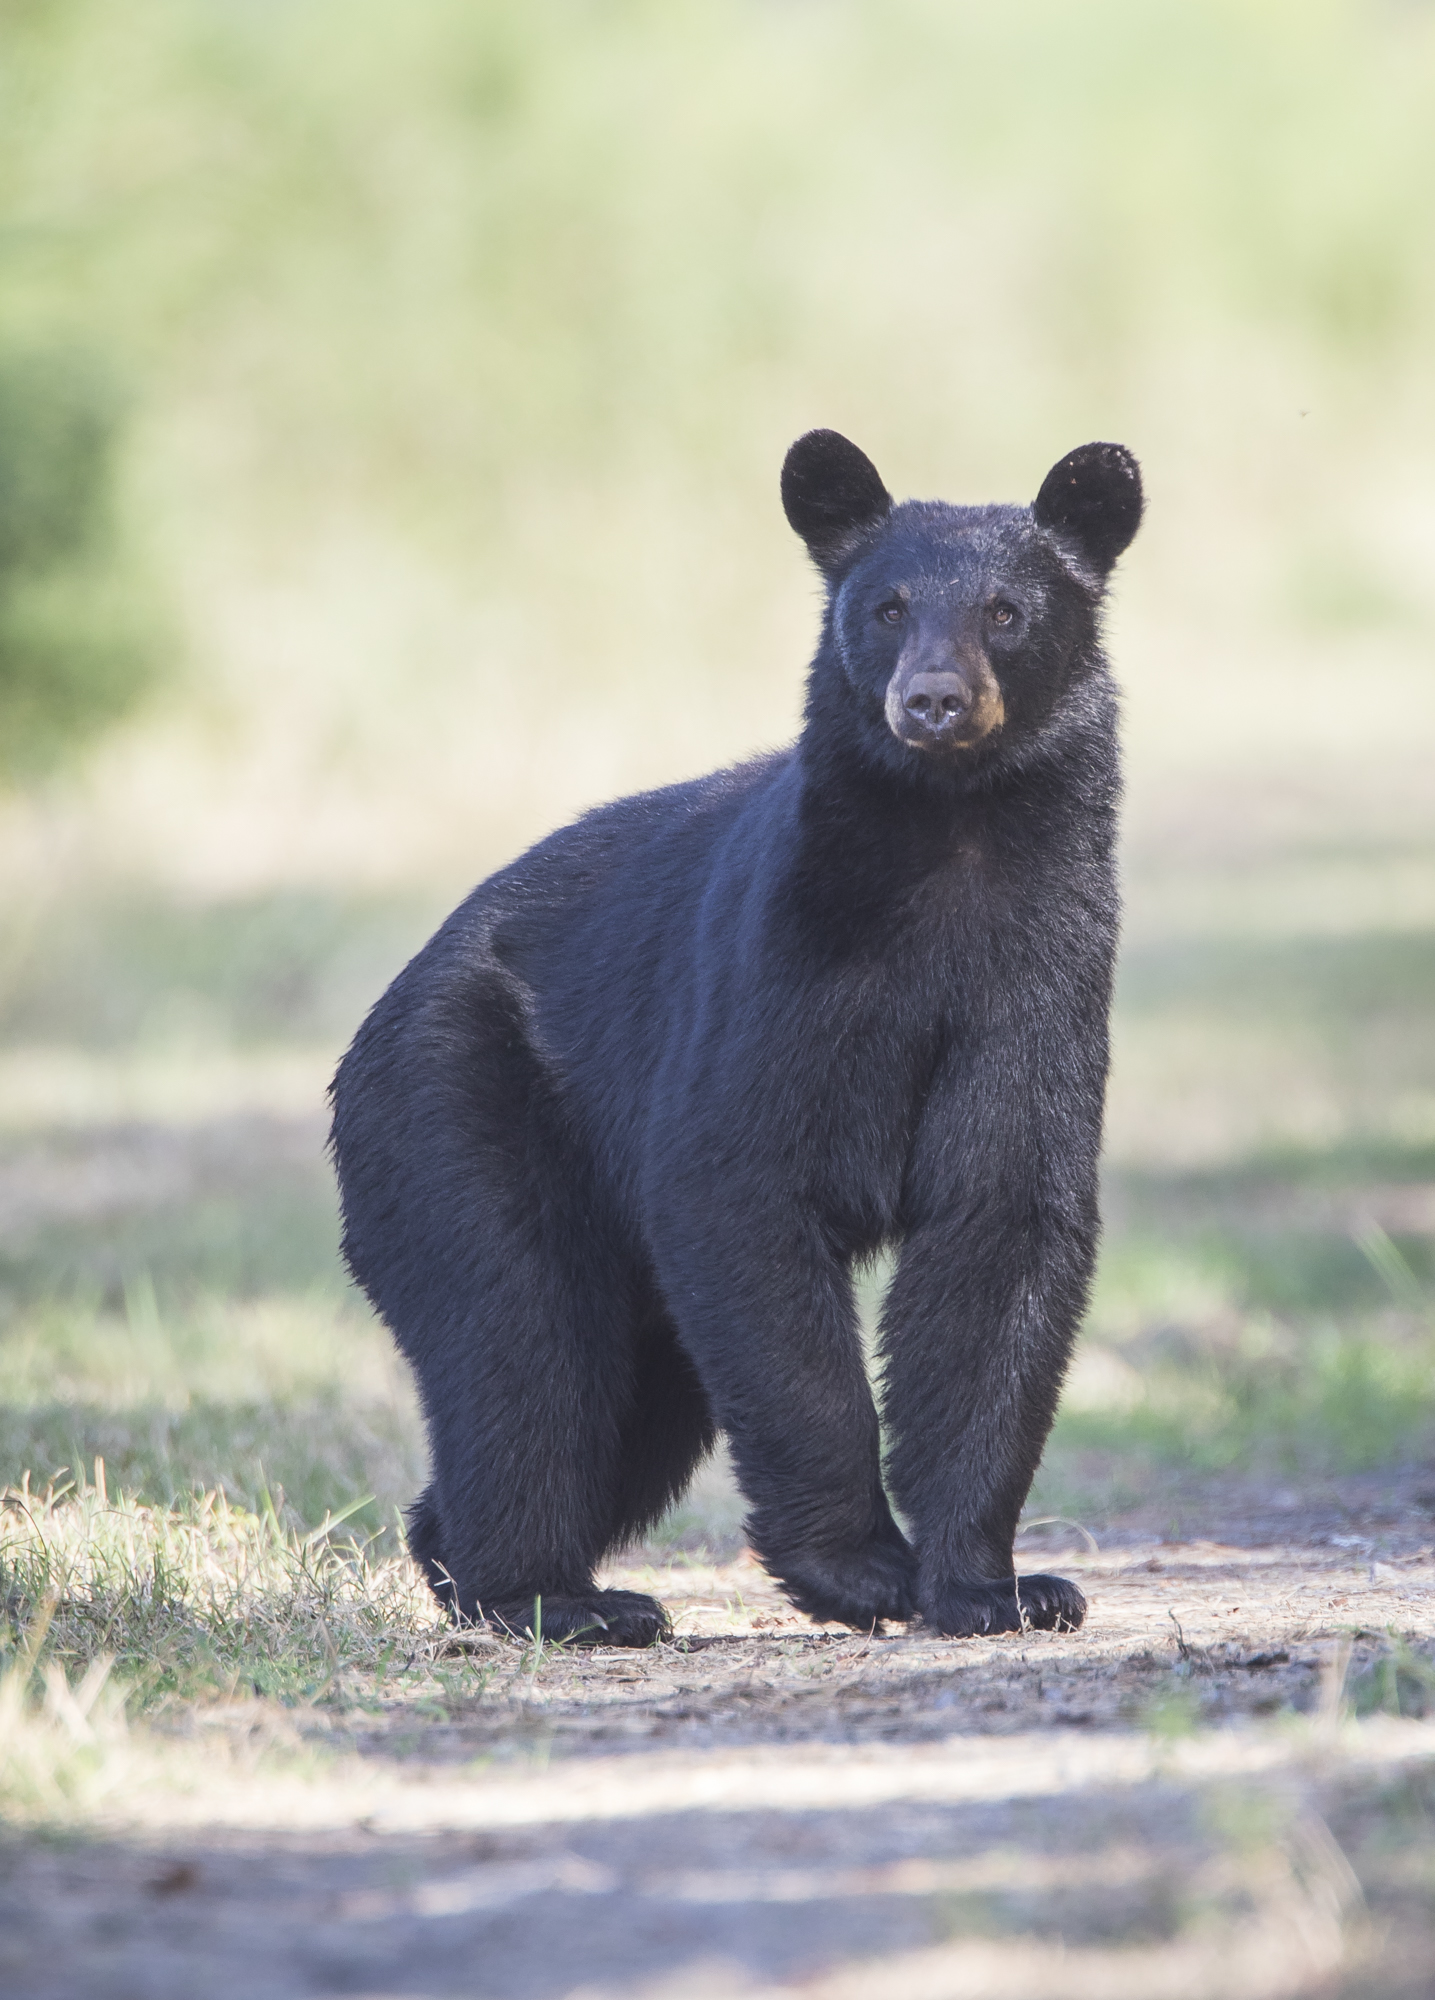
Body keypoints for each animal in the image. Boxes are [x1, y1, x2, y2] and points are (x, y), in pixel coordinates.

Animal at [329, 429, 1142, 1646]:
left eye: (1005, 611)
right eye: (887, 607)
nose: (933, 700)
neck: (946, 846)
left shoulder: (1041, 977)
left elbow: (999, 1222)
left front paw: (997, 1585)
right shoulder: (781, 968)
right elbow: (741, 1187)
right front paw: (859, 1569)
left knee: (631, 1392)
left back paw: (467, 1558)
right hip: (458, 1102)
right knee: (525, 1337)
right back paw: (556, 1596)